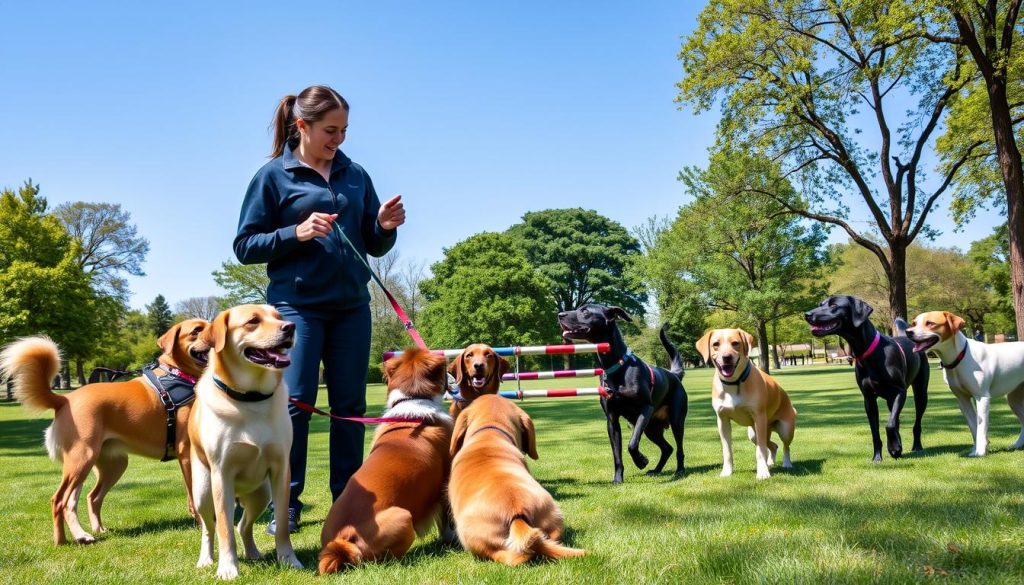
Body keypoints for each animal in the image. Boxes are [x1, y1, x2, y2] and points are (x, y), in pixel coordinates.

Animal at [0, 319, 209, 545]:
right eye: (197, 330)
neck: (177, 374)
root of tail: (64, 399)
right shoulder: (186, 453)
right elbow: (195, 496)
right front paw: (202, 526)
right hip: (81, 459)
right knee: (59, 500)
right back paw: (62, 540)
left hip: (109, 464)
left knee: (87, 498)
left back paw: (91, 532)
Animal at [696, 329, 798, 481]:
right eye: (715, 344)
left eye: (735, 343)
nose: (726, 357)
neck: (734, 383)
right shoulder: (722, 419)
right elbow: (727, 450)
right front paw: (726, 472)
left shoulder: (759, 417)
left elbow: (760, 450)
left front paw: (762, 472)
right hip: (753, 433)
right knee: (773, 445)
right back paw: (770, 462)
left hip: (784, 428)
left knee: (785, 446)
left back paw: (786, 463)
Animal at [909, 311, 1024, 456]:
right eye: (914, 323)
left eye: (930, 323)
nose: (908, 332)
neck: (961, 356)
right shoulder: (962, 400)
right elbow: (973, 425)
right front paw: (976, 449)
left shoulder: (982, 398)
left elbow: (981, 426)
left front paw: (980, 451)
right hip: (1013, 399)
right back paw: (1017, 444)